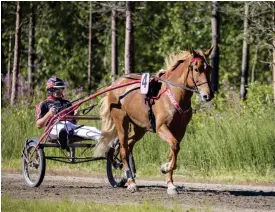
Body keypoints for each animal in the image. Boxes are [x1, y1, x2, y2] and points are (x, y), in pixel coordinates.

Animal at [96, 47, 215, 195]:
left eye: (209, 68)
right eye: (197, 69)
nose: (208, 95)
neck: (173, 95)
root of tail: (116, 84)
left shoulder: (180, 131)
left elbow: (173, 150)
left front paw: (170, 183)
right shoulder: (161, 128)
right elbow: (174, 145)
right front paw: (165, 167)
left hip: (139, 127)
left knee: (129, 144)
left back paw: (127, 175)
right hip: (121, 121)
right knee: (123, 148)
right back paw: (131, 182)